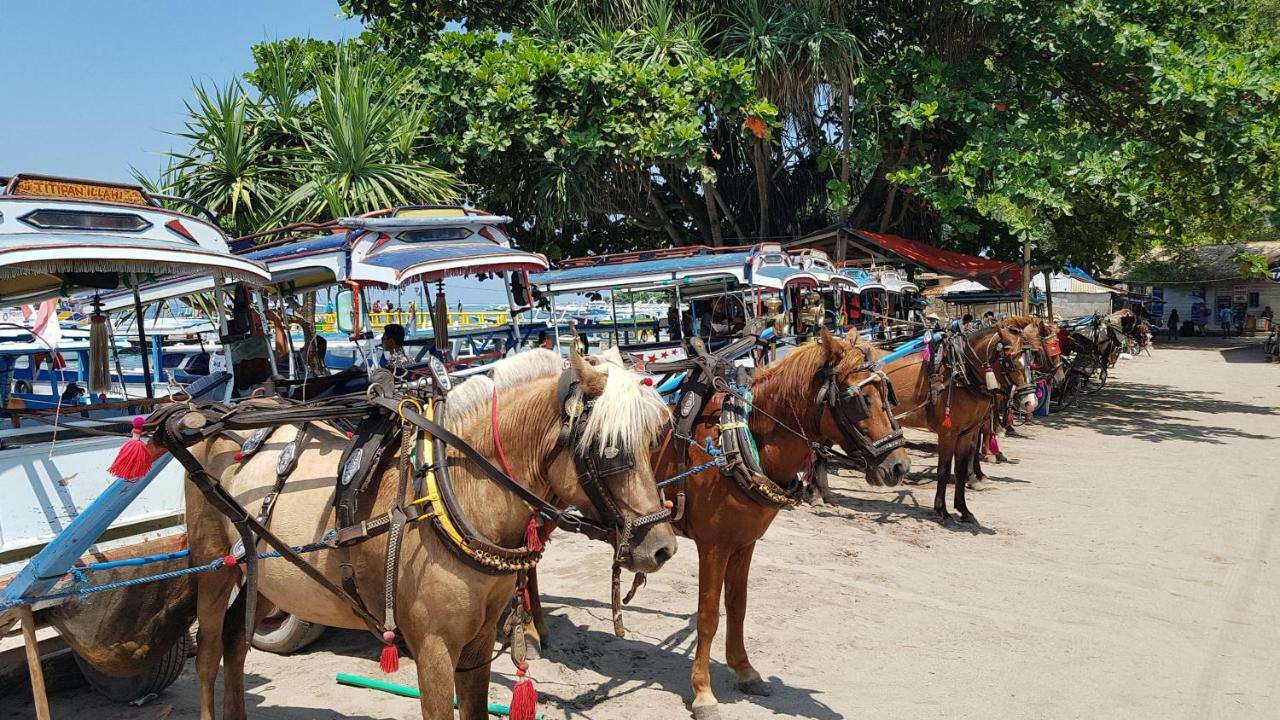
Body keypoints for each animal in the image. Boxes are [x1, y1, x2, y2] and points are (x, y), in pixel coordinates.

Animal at [183, 345, 680, 712]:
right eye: (609, 450)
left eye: (652, 440)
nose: (662, 549)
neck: (454, 491)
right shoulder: (434, 651)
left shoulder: (478, 643)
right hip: (213, 567)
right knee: (208, 654)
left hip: (266, 574)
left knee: (235, 642)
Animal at [522, 326, 911, 717]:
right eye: (859, 399)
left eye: (888, 394)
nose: (899, 467)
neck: (737, 438)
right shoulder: (714, 547)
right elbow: (708, 616)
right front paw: (703, 692)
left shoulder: (744, 543)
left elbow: (737, 607)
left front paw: (745, 670)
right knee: (529, 560)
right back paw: (528, 633)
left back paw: (538, 626)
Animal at [880, 325, 1039, 520]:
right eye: (1009, 363)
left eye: (1032, 360)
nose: (1030, 403)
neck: (961, 374)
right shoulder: (948, 432)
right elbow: (944, 468)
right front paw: (942, 509)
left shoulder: (967, 431)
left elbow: (961, 468)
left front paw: (963, 508)